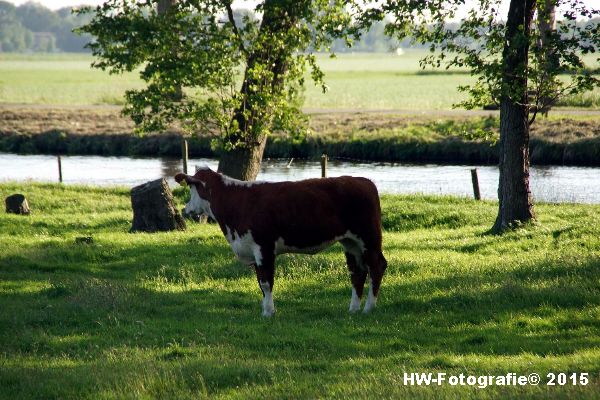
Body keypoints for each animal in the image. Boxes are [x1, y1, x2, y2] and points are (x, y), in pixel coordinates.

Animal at [173, 166, 390, 316]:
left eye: (191, 187)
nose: (185, 209)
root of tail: (363, 181)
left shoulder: (264, 247)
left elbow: (266, 281)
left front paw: (269, 312)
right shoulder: (252, 250)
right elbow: (260, 282)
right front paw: (265, 309)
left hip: (369, 238)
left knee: (377, 266)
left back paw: (369, 308)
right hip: (350, 243)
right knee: (357, 272)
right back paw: (353, 309)